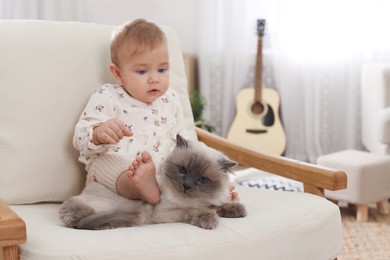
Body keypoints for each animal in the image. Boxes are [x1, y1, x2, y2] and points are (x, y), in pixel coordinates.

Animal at [59, 134, 245, 230]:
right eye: (182, 170)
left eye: (203, 179)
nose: (186, 186)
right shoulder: (166, 212)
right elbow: (194, 211)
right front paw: (210, 219)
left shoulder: (209, 200)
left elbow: (217, 205)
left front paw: (236, 209)